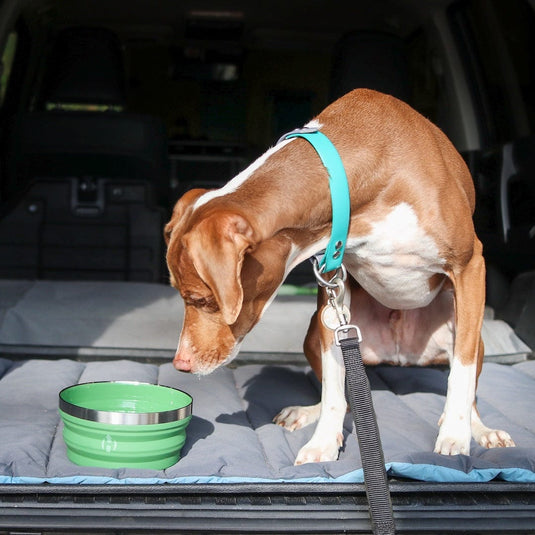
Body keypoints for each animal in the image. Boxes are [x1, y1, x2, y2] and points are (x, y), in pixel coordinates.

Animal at [164, 88, 516, 464]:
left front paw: (454, 434)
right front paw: (322, 443)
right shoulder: (332, 286)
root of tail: (400, 354)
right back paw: (306, 412)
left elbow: (461, 374)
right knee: (343, 396)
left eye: (202, 300)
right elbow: (334, 388)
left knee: (468, 383)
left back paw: (480, 429)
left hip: (468, 327)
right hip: (314, 334)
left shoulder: (470, 265)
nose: (180, 363)